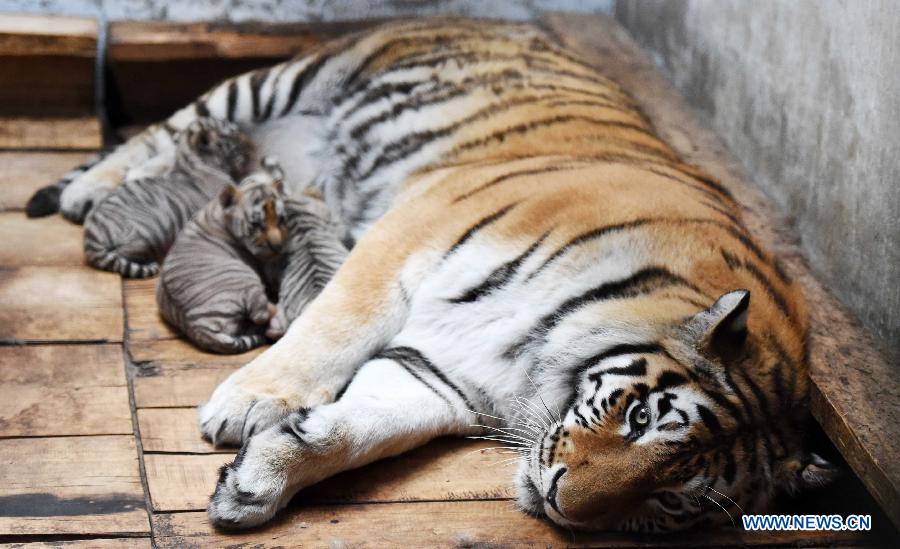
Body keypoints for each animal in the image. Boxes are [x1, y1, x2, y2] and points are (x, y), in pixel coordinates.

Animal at [33, 19, 836, 528]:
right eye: (641, 420)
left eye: (677, 499)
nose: (562, 503)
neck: (539, 361)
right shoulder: (410, 231)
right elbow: (331, 328)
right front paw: (246, 404)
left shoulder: (440, 376)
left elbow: (356, 430)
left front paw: (260, 479)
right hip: (279, 81)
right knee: (164, 128)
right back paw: (84, 191)